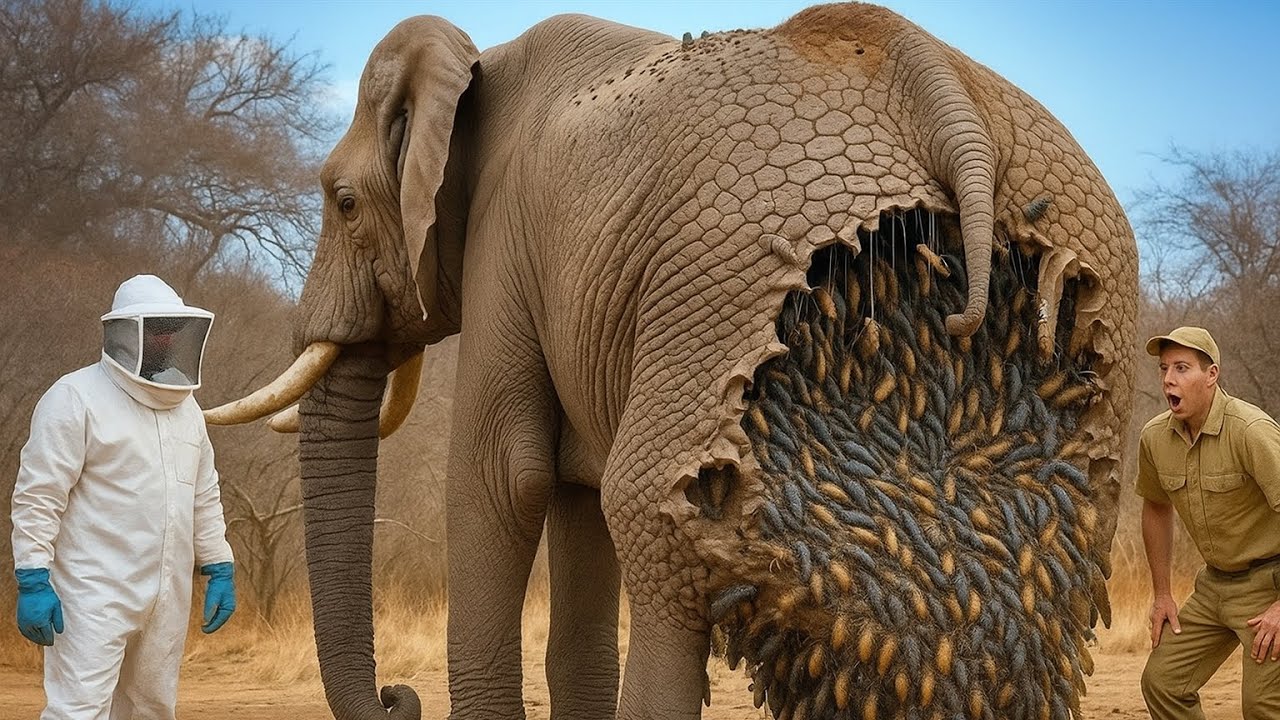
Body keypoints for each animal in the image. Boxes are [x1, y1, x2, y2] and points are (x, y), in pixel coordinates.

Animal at [208, 3, 1137, 719]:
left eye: (343, 203)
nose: (398, 696)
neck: (481, 67)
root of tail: (944, 97)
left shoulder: (508, 241)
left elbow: (503, 477)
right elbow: (569, 505)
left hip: (716, 272)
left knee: (651, 518)